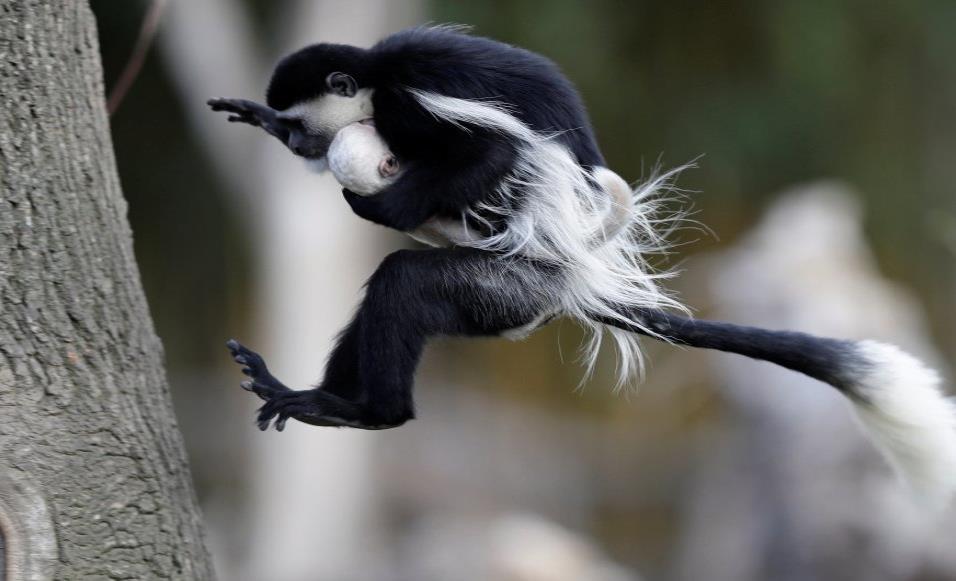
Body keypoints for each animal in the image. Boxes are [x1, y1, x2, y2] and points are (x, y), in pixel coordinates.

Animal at [211, 24, 956, 502]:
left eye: (304, 126)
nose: (297, 142)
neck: (373, 79)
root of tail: (568, 283)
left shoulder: (410, 104)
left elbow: (494, 155)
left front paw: (380, 206)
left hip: (502, 288)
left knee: (405, 285)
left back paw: (370, 410)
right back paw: (313, 395)